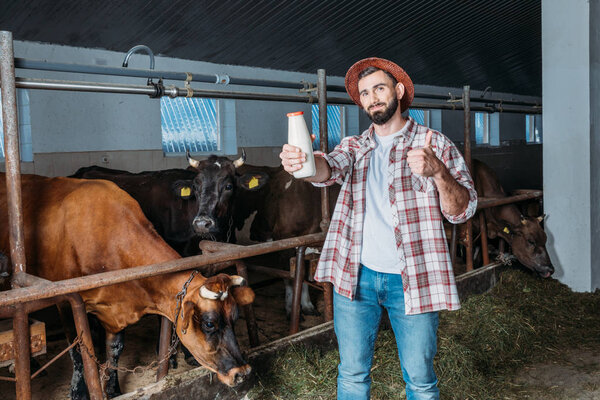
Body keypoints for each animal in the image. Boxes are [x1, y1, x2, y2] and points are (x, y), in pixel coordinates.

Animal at [0, 173, 255, 398]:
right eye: (209, 324)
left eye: (235, 318)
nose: (242, 372)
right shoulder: (66, 301)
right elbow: (77, 350)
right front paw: (78, 391)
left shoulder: (116, 304)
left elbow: (115, 349)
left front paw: (112, 388)